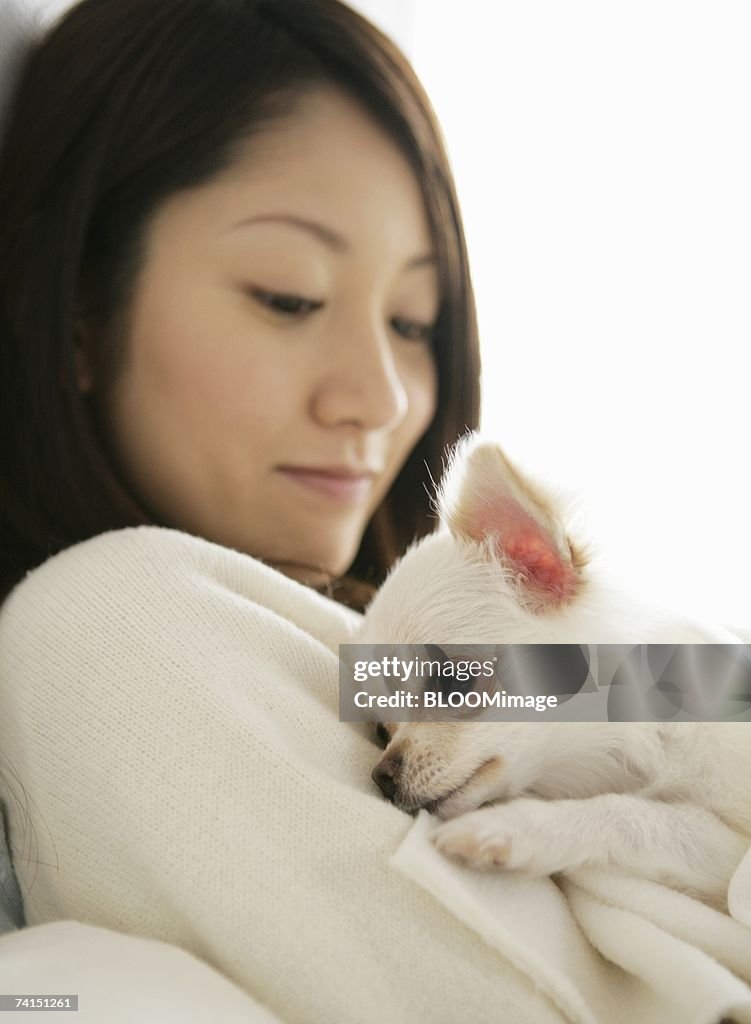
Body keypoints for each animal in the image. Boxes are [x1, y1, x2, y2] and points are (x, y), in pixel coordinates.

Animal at [362, 436, 749, 909]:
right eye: (382, 731)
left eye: (453, 682)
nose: (381, 776)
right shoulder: (720, 850)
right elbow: (650, 819)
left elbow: (635, 817)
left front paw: (511, 827)